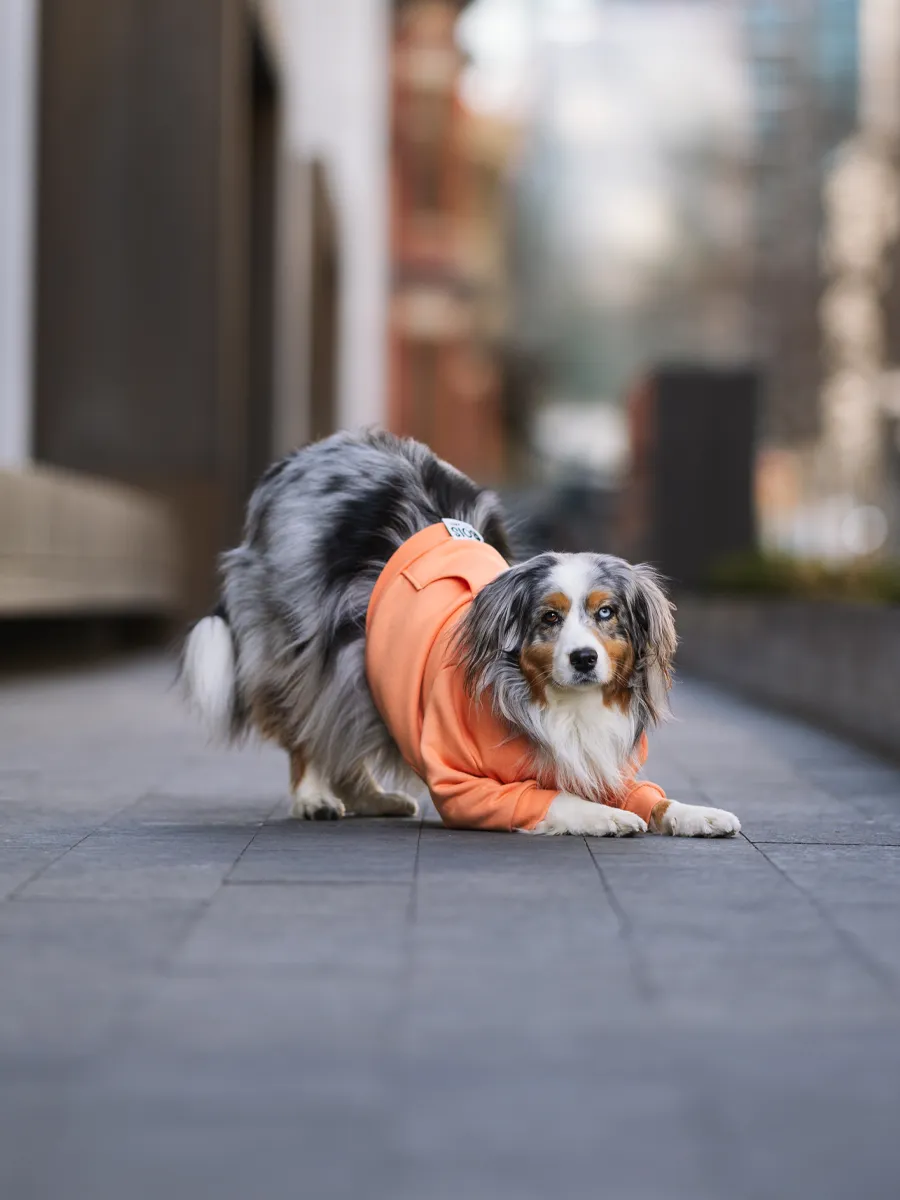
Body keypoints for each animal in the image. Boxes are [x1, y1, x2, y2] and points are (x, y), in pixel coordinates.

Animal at [181, 429, 739, 835]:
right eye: (549, 617)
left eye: (607, 613)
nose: (584, 658)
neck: (560, 707)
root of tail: (301, 457)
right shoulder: (463, 788)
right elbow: (552, 796)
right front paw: (606, 816)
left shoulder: (601, 760)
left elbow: (650, 796)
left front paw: (694, 813)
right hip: (304, 640)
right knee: (307, 720)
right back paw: (313, 795)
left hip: (357, 667)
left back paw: (371, 797)